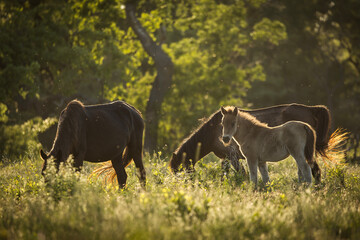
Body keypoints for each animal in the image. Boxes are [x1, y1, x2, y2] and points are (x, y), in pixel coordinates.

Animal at [170, 103, 344, 174]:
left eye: (179, 170)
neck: (214, 131)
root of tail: (310, 109)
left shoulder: (232, 156)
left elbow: (242, 174)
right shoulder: (224, 158)